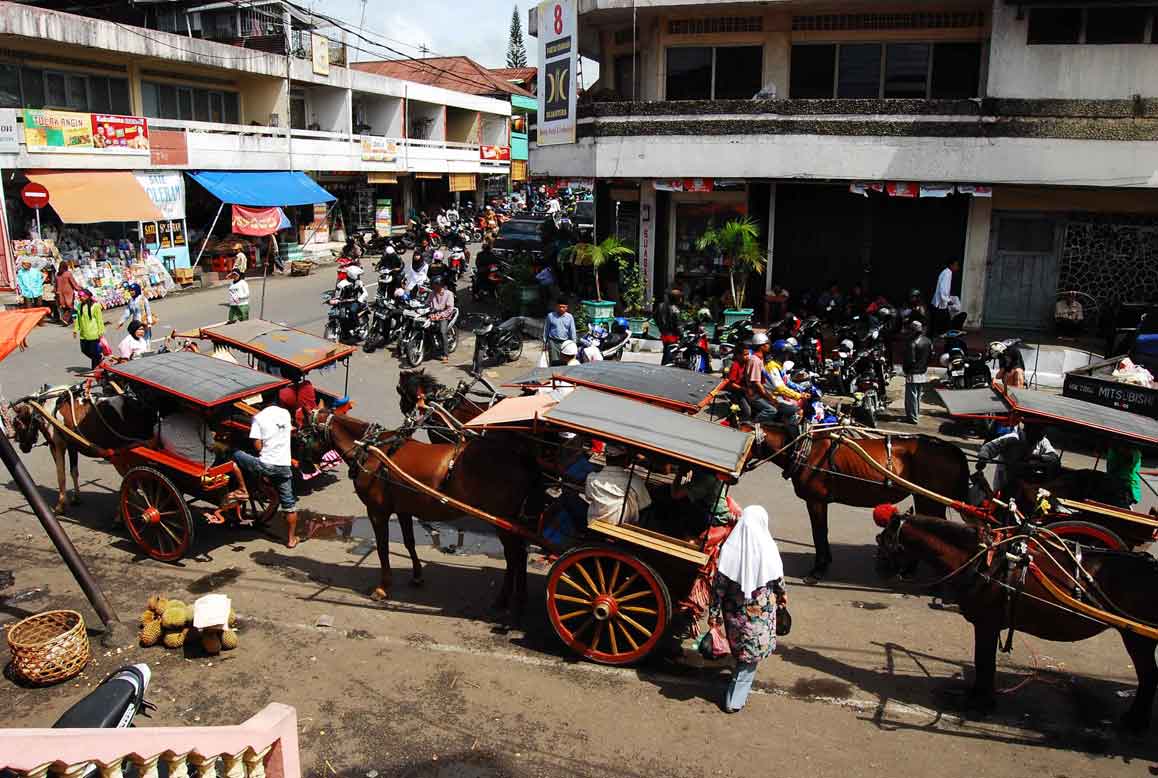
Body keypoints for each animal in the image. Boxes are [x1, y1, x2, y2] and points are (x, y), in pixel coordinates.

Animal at [10, 386, 156, 509]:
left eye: (16, 423)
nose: (22, 447)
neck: (49, 407)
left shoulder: (58, 446)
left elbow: (61, 474)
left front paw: (61, 505)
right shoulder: (72, 446)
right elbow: (74, 472)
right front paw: (76, 498)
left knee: (132, 482)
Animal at [308, 409, 541, 625]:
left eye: (304, 428)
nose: (308, 462)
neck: (371, 450)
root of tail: (522, 460)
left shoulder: (377, 512)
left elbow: (382, 548)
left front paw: (383, 587)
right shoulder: (403, 509)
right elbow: (409, 541)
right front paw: (417, 575)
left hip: (502, 521)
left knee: (514, 556)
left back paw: (505, 601)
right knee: (519, 555)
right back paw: (517, 600)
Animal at [755, 426, 972, 583]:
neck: (805, 451)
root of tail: (951, 449)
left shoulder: (815, 501)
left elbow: (819, 532)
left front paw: (818, 569)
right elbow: (822, 532)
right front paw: (826, 562)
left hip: (928, 499)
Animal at [875, 509, 1158, 731]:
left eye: (884, 542)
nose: (882, 572)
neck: (982, 560)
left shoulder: (986, 624)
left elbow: (984, 661)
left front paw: (980, 701)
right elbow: (983, 661)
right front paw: (978, 695)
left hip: (1137, 637)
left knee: (1148, 676)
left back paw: (1134, 721)